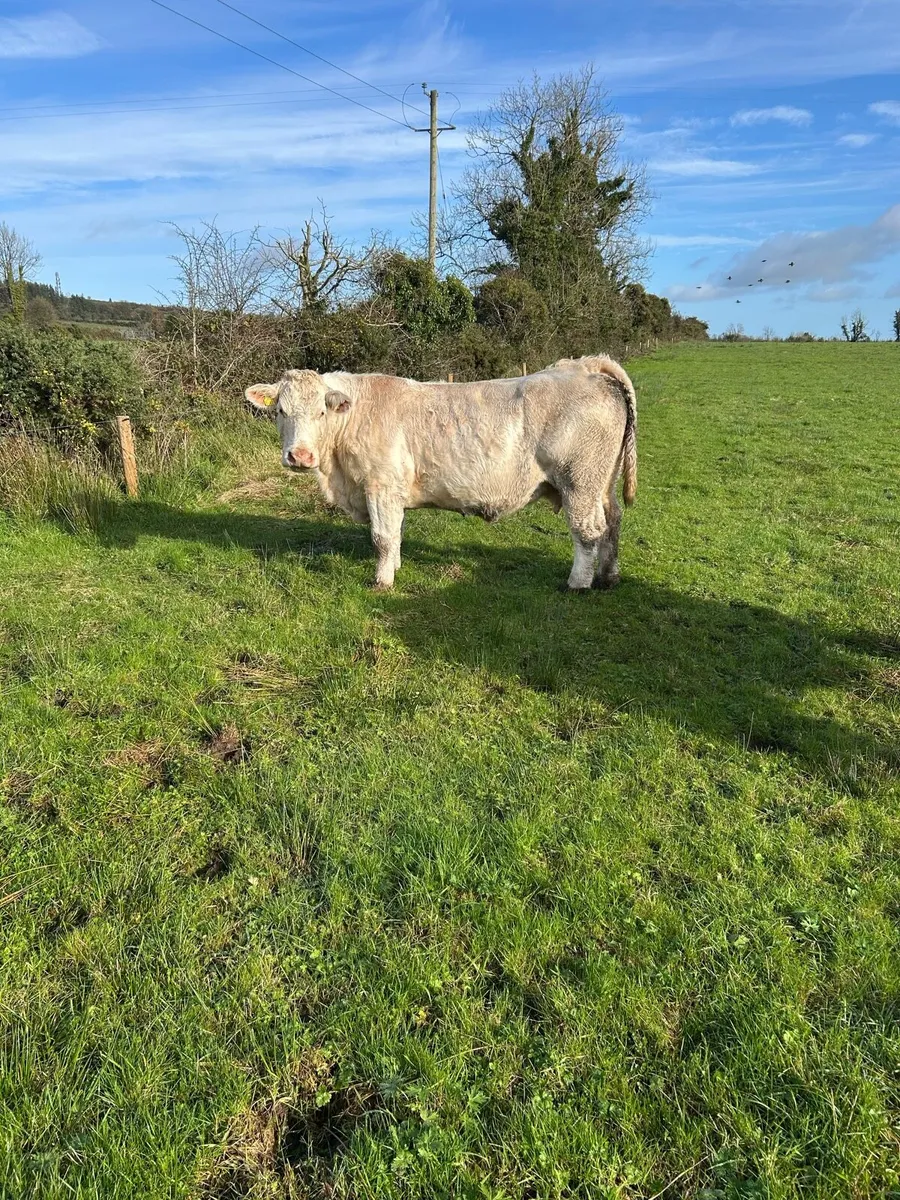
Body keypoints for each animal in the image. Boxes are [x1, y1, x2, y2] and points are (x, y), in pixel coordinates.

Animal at [244, 355, 637, 591]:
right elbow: (396, 534)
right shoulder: (392, 493)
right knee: (613, 522)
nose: (300, 456)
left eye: (322, 413)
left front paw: (382, 582)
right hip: (602, 483)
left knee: (588, 532)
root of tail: (585, 366)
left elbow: (382, 537)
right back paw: (608, 576)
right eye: (280, 410)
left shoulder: (380, 486)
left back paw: (578, 584)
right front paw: (395, 568)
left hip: (579, 482)